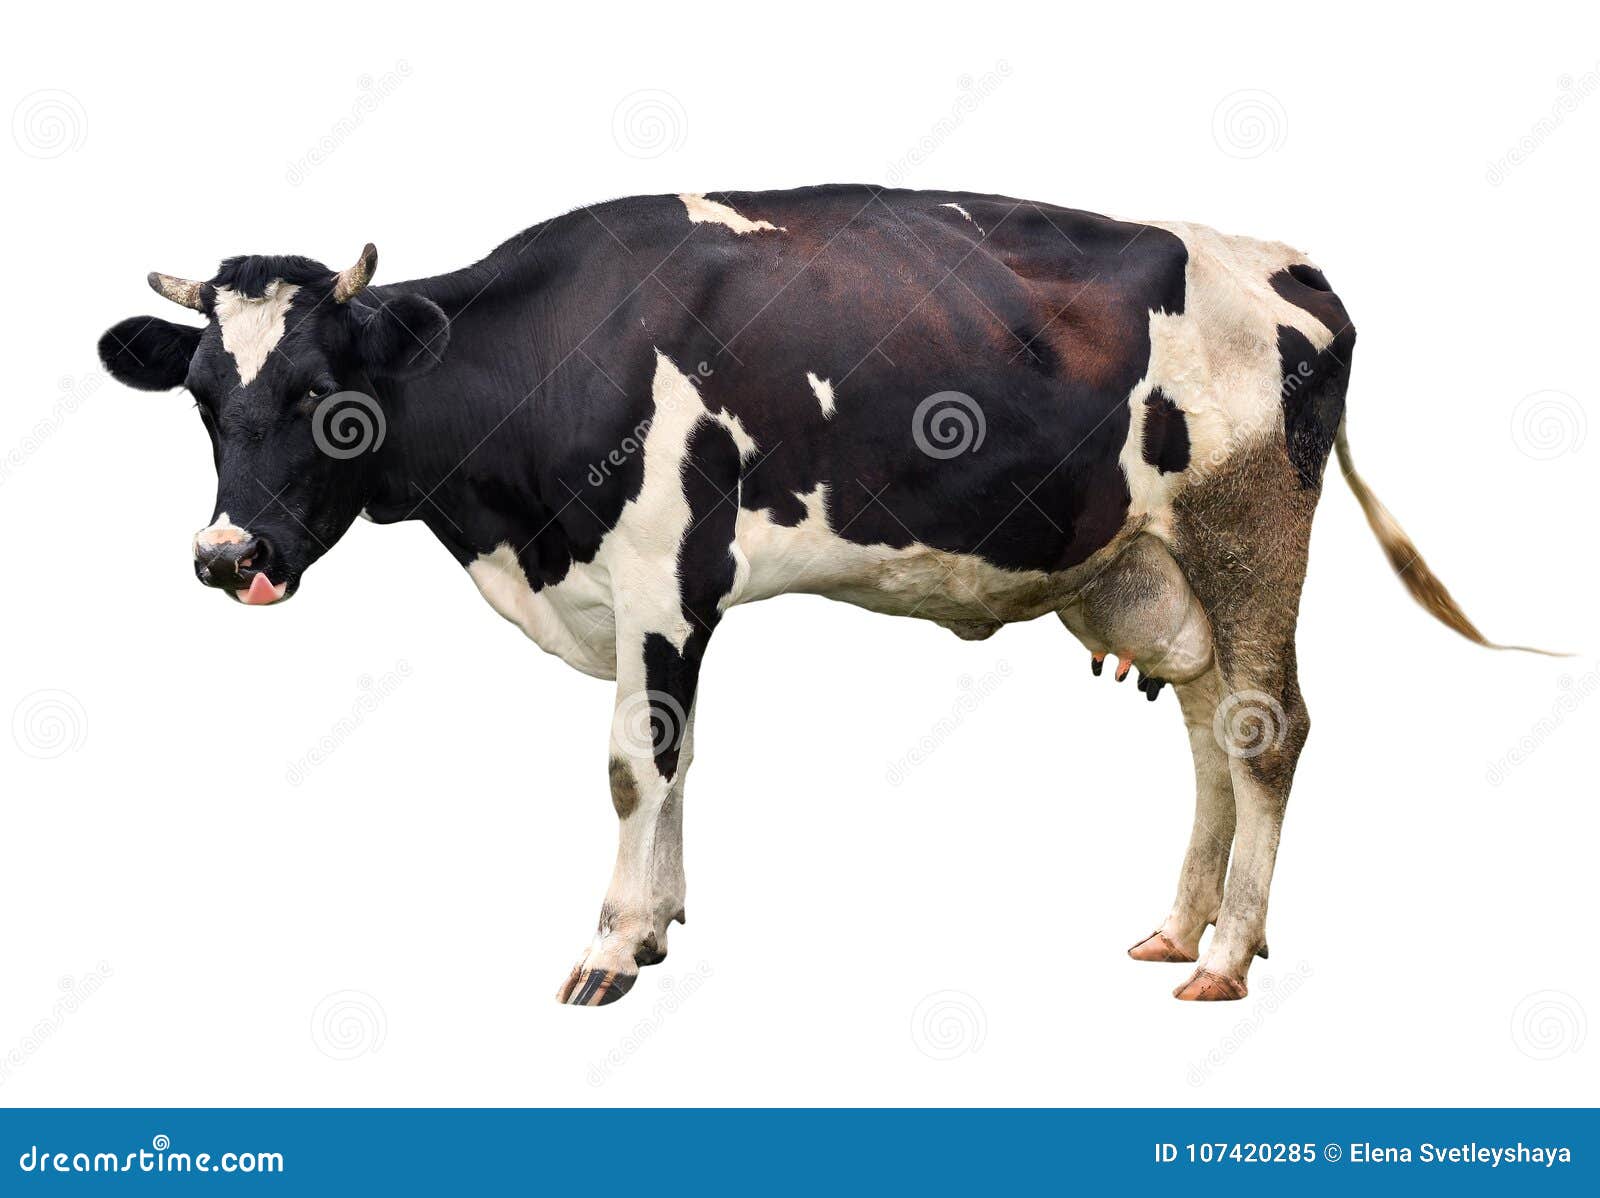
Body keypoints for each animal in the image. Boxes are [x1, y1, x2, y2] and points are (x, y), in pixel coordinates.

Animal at [100, 187, 1536, 1004]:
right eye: (204, 398)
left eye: (325, 399)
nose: (225, 556)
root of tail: (1282, 261)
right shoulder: (656, 599)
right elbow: (676, 757)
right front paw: (660, 928)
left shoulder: (665, 571)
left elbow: (635, 759)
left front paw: (613, 947)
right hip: (1161, 561)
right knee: (1207, 734)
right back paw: (1180, 930)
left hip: (1250, 530)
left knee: (1266, 732)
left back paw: (1231, 957)